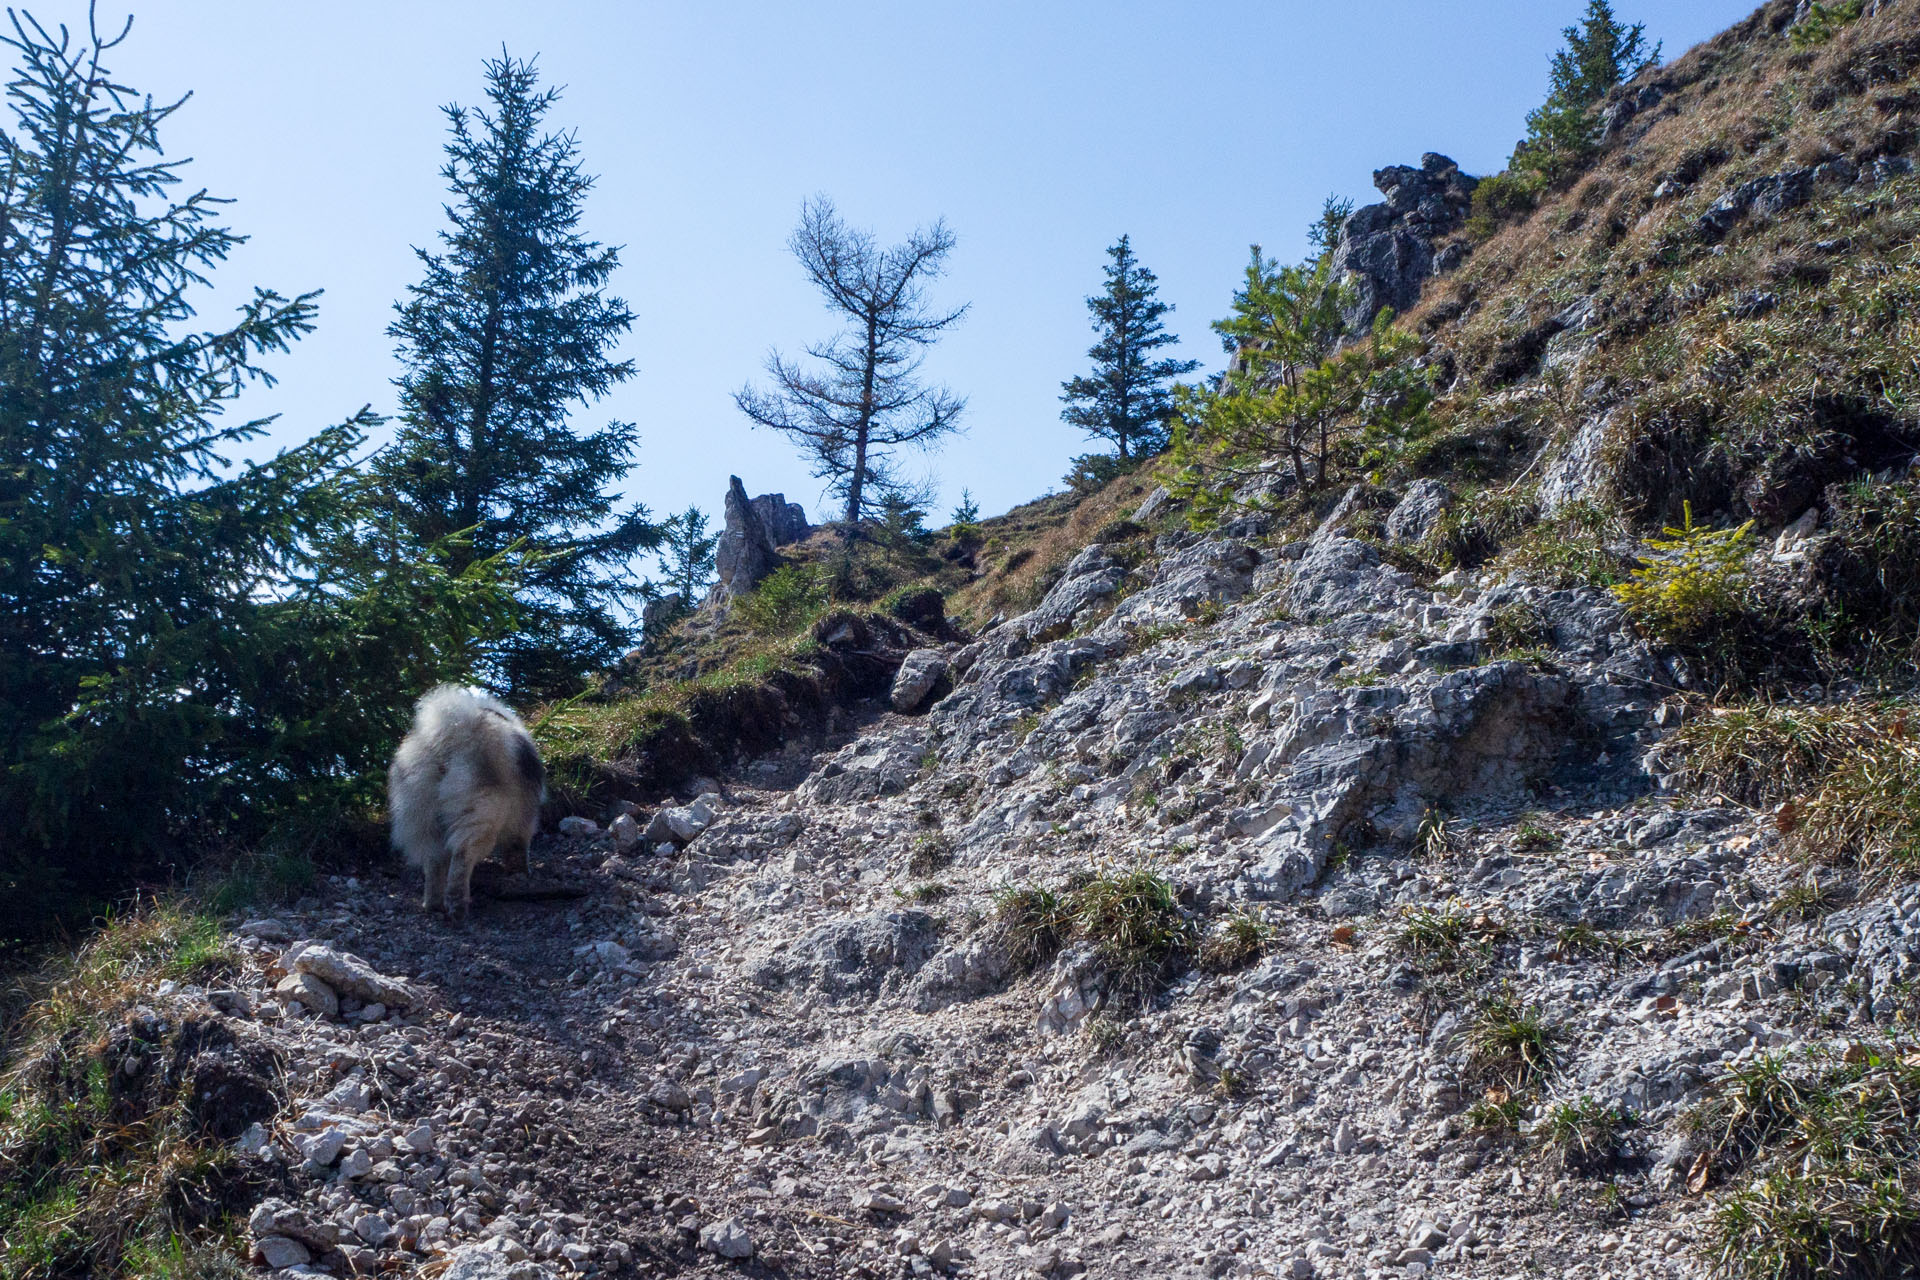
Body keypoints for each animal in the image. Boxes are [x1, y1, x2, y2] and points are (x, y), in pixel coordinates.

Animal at [385, 690, 545, 921]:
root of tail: (451, 737)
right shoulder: (523, 819)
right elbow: (518, 846)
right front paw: (522, 871)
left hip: (422, 815)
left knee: (434, 862)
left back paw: (434, 904)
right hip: (480, 811)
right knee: (462, 856)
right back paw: (458, 906)